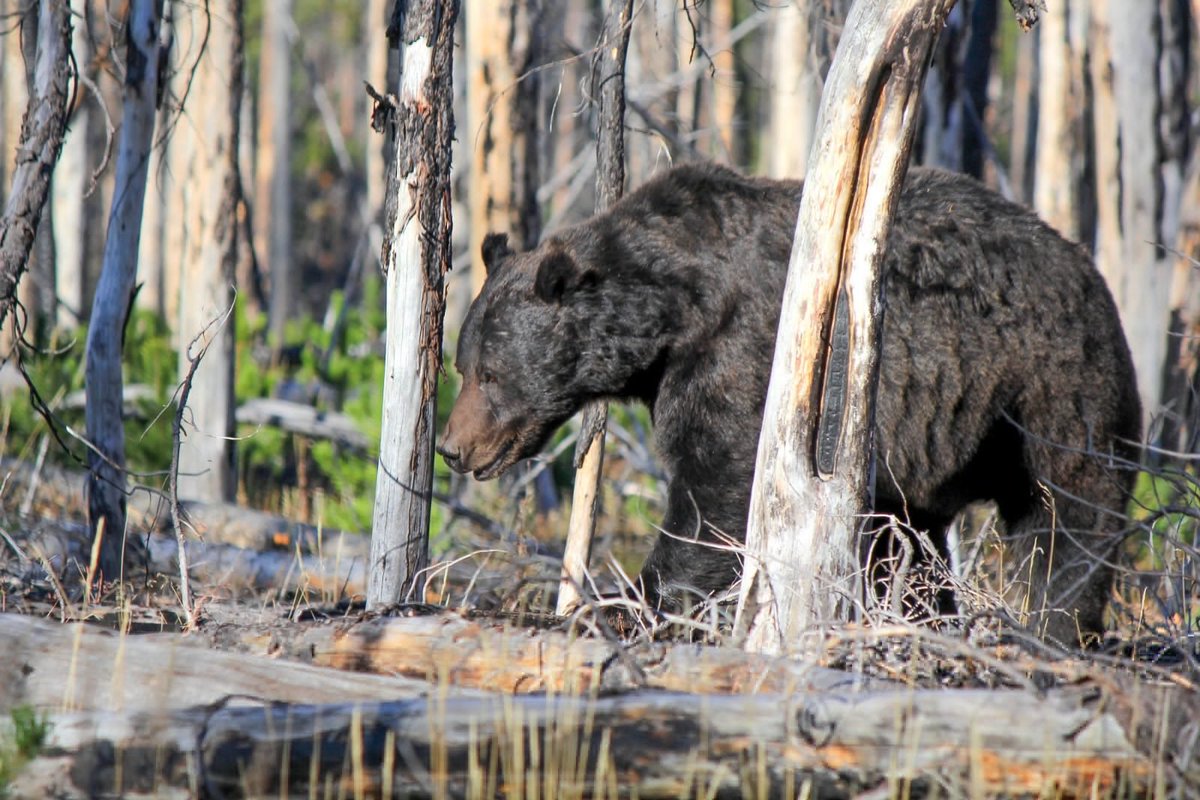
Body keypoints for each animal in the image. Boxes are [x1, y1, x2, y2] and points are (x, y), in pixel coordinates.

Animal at [438, 162, 1142, 646]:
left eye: (491, 374)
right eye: (463, 366)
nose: (451, 447)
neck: (672, 313)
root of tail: (1094, 274)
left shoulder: (745, 355)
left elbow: (718, 488)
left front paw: (628, 601)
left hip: (1049, 386)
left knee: (1071, 511)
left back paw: (1054, 625)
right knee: (912, 540)